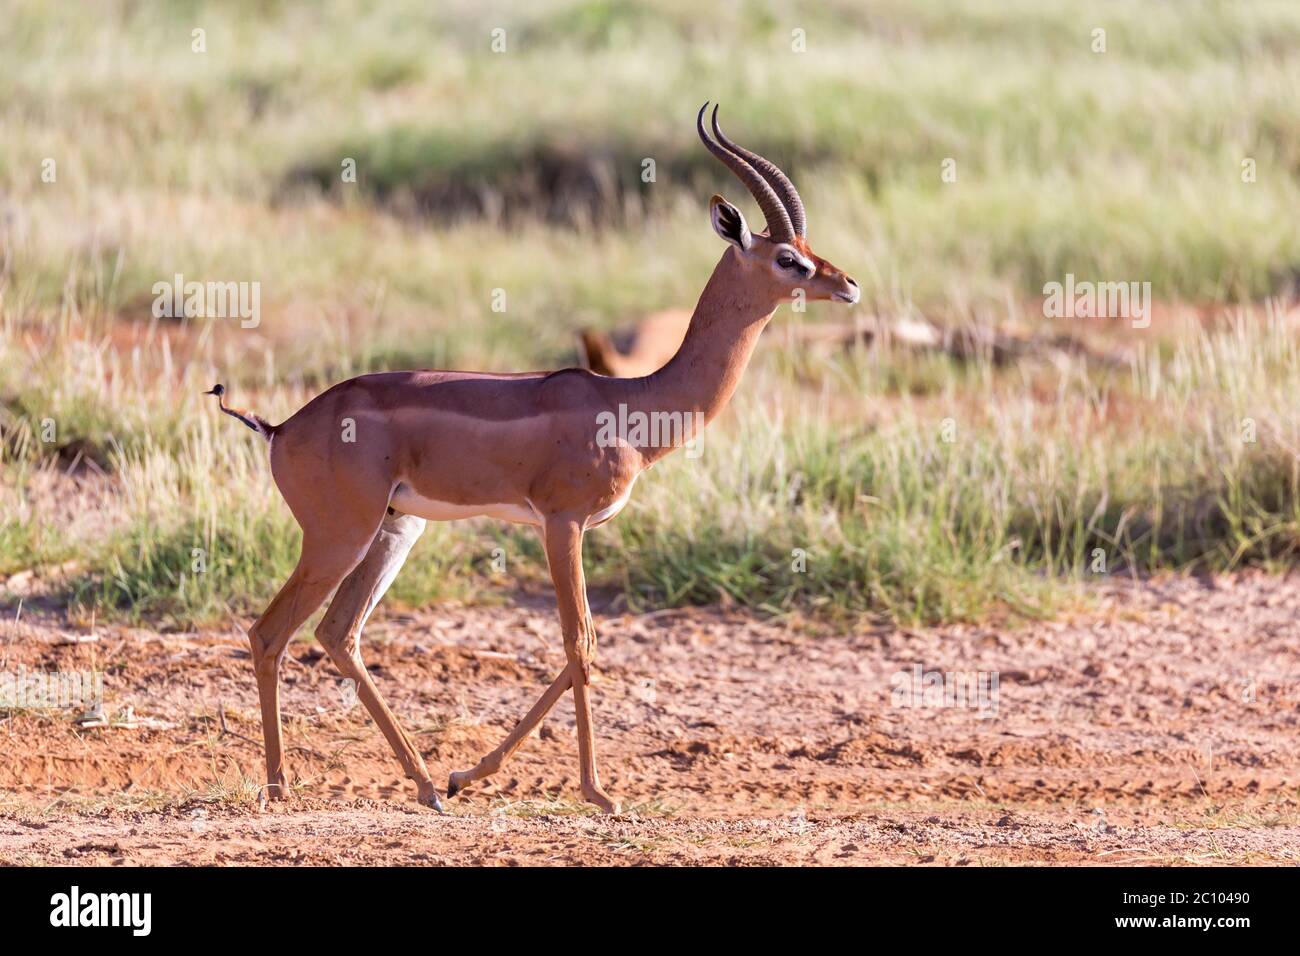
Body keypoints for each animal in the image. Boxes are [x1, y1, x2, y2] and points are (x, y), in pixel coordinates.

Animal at [208, 104, 859, 814]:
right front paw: (600, 793)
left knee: (337, 633)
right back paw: (280, 788)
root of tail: (282, 427)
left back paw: (428, 786)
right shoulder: (562, 524)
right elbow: (581, 645)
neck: (631, 403)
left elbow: (578, 650)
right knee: (270, 633)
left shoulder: (563, 529)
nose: (849, 284)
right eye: (789, 258)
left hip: (396, 530)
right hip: (338, 536)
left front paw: (467, 776)